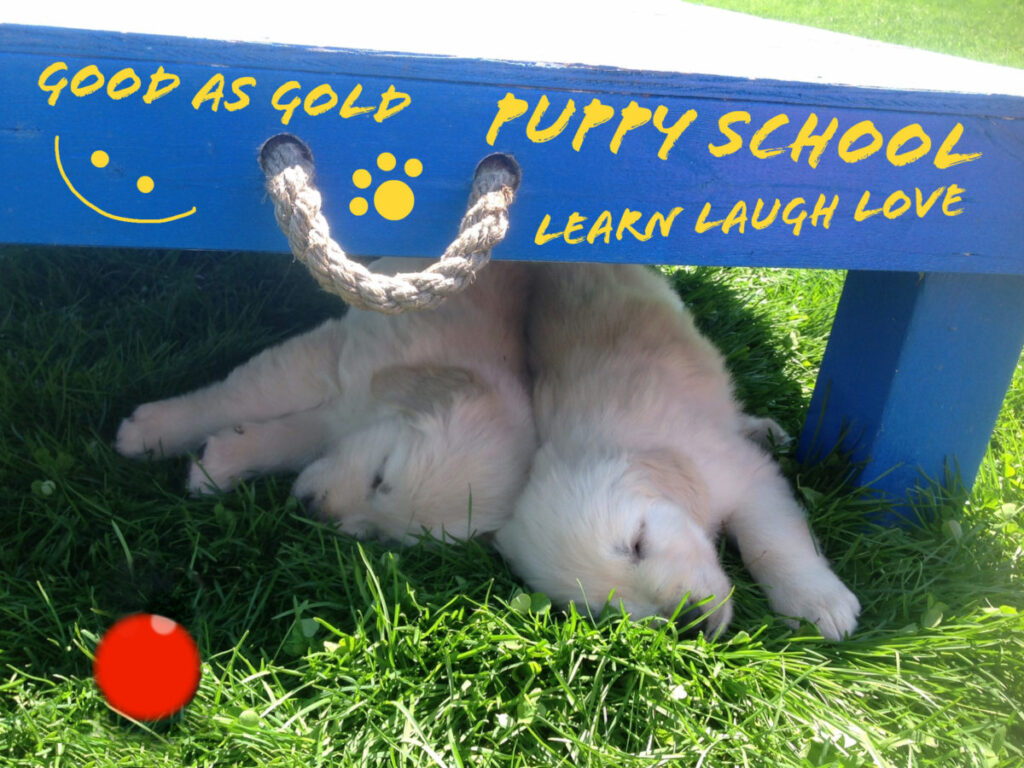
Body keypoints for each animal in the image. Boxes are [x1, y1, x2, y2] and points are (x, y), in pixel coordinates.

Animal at [115, 260, 536, 548]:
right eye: (379, 478)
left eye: (383, 536)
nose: (313, 514)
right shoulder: (332, 359)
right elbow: (240, 397)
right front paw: (152, 433)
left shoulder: (346, 416)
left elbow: (297, 440)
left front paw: (223, 461)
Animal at [491, 264, 860, 643]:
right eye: (602, 610)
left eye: (636, 544)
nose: (689, 623)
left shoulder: (745, 477)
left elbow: (771, 541)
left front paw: (817, 603)